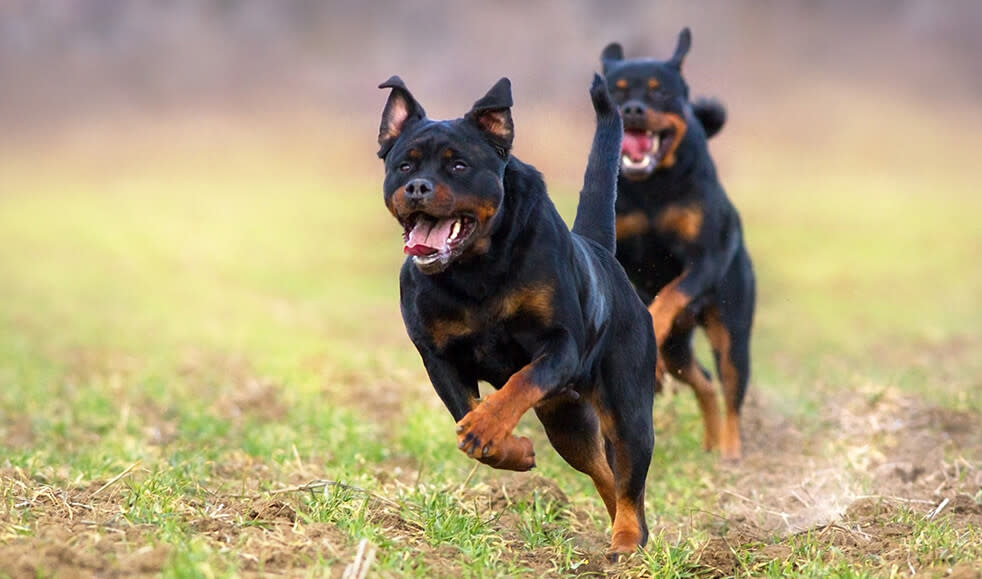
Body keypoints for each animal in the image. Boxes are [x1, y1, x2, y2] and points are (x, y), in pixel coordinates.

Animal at [380, 75, 656, 556]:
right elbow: (467, 417)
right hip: (567, 421)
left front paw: (488, 425)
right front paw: (509, 447)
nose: (417, 187)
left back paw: (627, 540)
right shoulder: (438, 357)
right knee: (605, 473)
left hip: (628, 407)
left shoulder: (560, 343)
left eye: (458, 166)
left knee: (629, 480)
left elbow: (518, 383)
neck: (474, 269)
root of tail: (602, 255)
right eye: (404, 166)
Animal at [604, 28, 756, 462]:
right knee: (701, 380)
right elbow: (644, 298)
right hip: (679, 351)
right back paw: (708, 439)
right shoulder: (623, 257)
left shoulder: (706, 258)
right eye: (618, 91)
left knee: (730, 388)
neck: (652, 185)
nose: (633, 109)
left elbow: (670, 294)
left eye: (660, 92)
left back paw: (730, 451)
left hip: (732, 333)